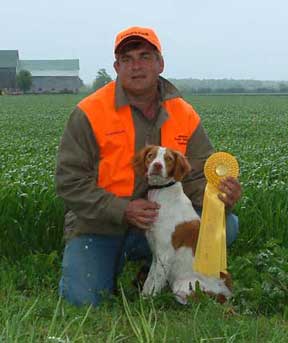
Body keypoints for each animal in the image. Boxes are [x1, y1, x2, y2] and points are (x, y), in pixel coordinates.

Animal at [133, 146, 232, 306]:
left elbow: (155, 283)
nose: (157, 165)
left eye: (168, 159)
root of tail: (227, 294)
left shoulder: (165, 254)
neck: (162, 195)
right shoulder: (156, 253)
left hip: (182, 285)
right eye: (150, 156)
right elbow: (149, 280)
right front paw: (143, 298)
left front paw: (148, 302)